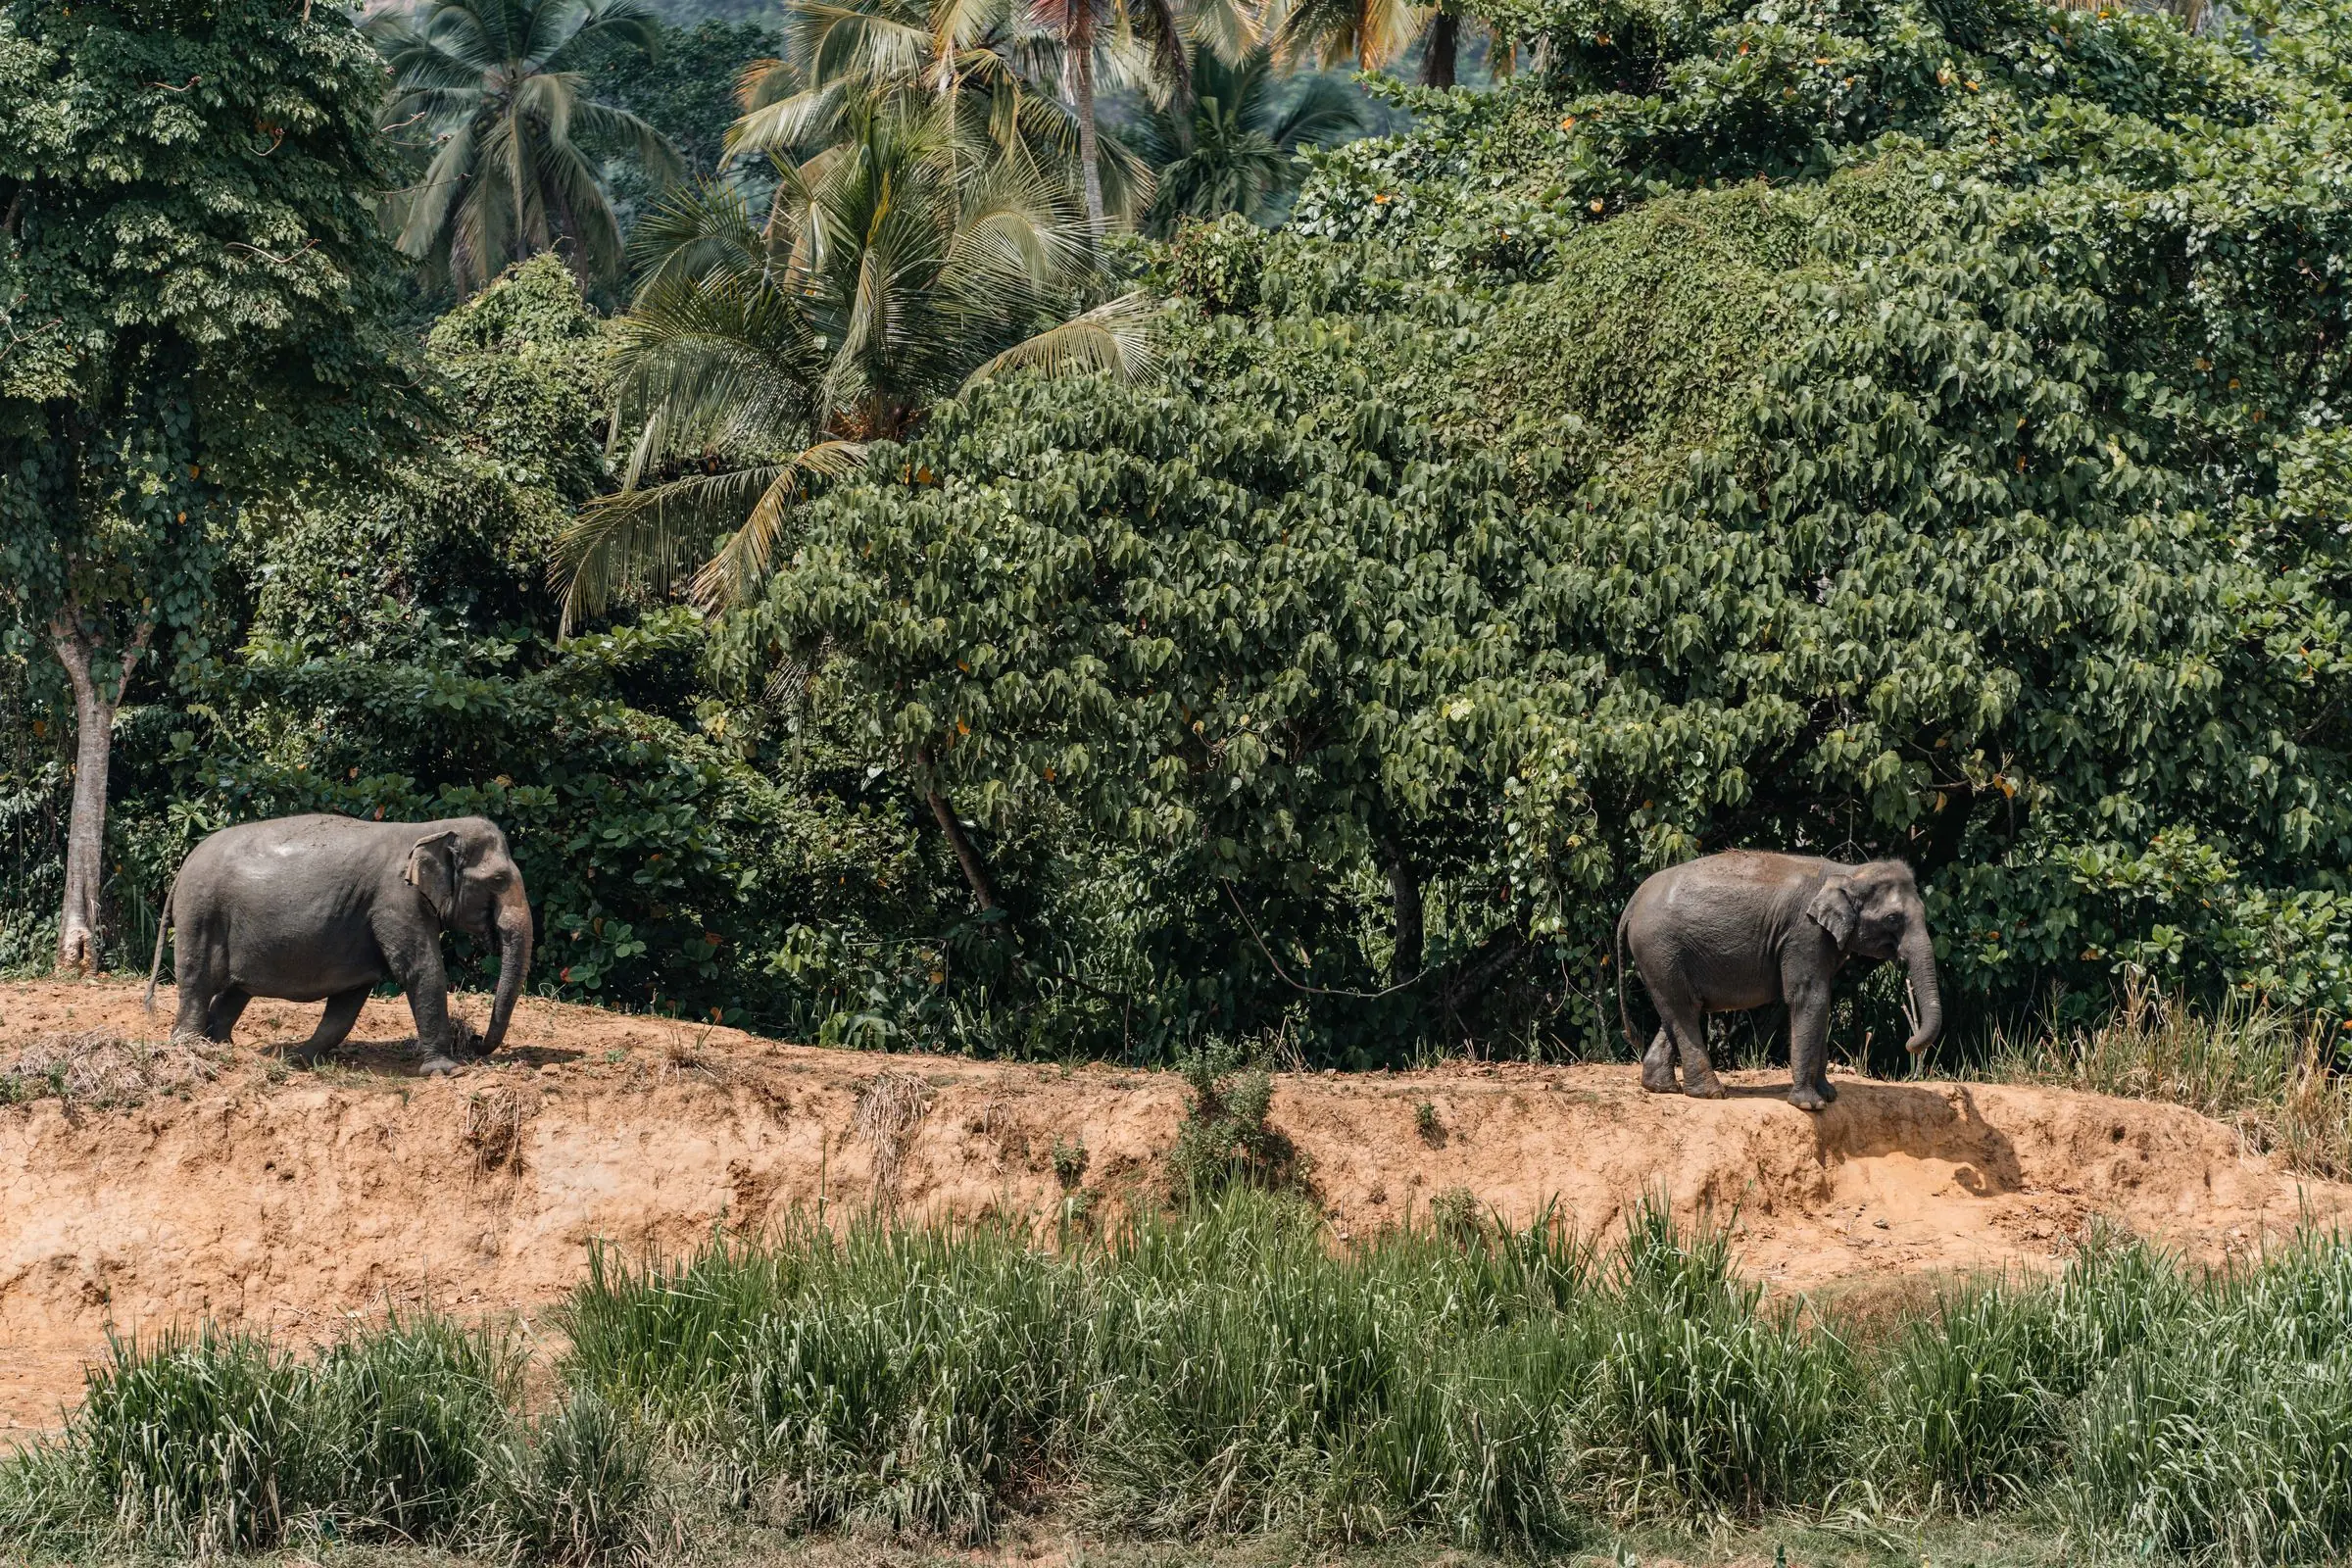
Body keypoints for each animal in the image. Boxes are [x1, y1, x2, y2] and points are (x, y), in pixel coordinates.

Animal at [144, 813, 534, 1076]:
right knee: (197, 979)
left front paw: (299, 1057)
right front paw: (446, 1072)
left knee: (236, 991)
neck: (431, 828)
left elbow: (350, 998)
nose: (475, 1041)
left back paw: (223, 1045)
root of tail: (185, 865)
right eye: (498, 880)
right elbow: (421, 971)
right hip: (200, 912)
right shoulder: (396, 901)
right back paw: (191, 1045)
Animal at [1614, 851, 1942, 1110]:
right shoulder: (1804, 932)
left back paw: (1661, 1087)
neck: (1848, 872)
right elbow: (1810, 998)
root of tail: (1632, 902)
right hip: (1660, 947)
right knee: (1683, 1009)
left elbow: (1822, 1000)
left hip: (1658, 954)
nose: (1909, 1043)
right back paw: (1712, 1094)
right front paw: (1810, 1105)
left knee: (1677, 1009)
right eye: (1892, 919)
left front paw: (1829, 1095)